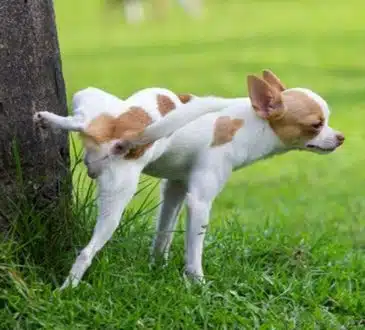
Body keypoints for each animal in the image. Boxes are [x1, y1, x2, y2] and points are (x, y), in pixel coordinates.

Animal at [32, 70, 342, 288]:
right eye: (316, 125)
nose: (341, 137)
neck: (249, 123)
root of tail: (121, 132)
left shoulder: (175, 188)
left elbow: (164, 233)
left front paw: (157, 266)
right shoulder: (200, 201)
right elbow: (194, 249)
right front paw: (197, 284)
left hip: (91, 100)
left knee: (81, 120)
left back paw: (50, 119)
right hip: (118, 197)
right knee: (86, 252)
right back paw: (66, 290)